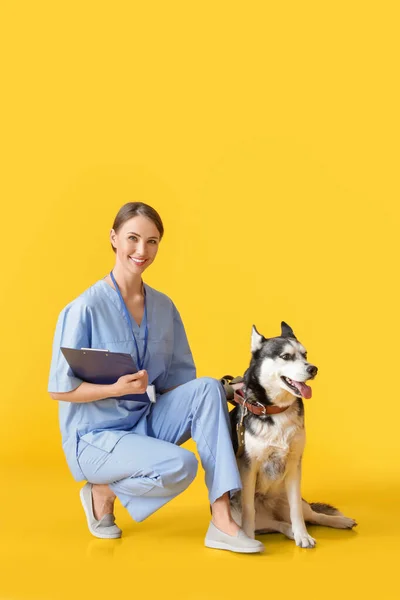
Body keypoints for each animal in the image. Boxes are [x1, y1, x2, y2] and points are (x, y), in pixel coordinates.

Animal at [230, 324, 358, 548]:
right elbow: (249, 510)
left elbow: (296, 510)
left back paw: (338, 521)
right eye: (286, 356)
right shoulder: (248, 468)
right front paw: (248, 538)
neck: (275, 410)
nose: (313, 369)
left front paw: (303, 535)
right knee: (275, 524)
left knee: (311, 514)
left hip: (288, 499)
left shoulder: (294, 464)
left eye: (305, 354)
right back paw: (287, 531)